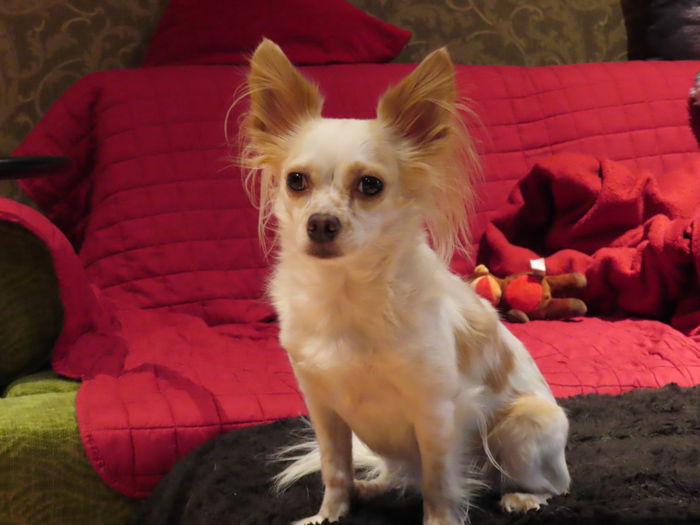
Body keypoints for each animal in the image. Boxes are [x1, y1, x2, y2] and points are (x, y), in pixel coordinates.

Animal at [239, 37, 568, 524]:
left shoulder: (436, 411)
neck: (346, 291)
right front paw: (329, 515)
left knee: (552, 485)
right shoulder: (324, 409)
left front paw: (440, 520)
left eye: (370, 185)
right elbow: (334, 469)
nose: (321, 223)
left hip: (524, 425)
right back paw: (373, 487)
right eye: (295, 181)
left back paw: (523, 496)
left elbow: (439, 482)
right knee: (399, 476)